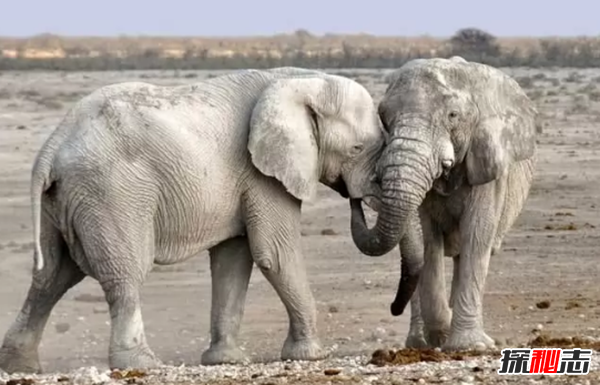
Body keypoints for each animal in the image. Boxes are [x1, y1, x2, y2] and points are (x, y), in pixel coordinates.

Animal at [0, 67, 384, 372]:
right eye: (357, 149)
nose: (356, 198)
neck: (302, 80)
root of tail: (52, 146)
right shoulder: (262, 174)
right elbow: (274, 254)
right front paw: (311, 355)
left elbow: (233, 259)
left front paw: (225, 361)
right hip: (111, 193)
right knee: (124, 273)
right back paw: (143, 364)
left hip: (63, 200)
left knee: (51, 276)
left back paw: (20, 367)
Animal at [350, 56, 536, 352]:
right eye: (384, 117)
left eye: (453, 116)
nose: (356, 196)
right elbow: (428, 241)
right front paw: (443, 334)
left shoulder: (488, 165)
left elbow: (477, 235)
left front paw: (469, 346)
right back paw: (419, 343)